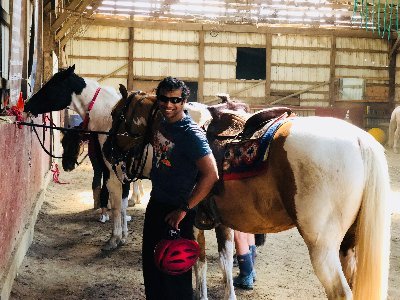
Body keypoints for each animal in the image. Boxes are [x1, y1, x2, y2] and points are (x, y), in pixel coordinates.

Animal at [105, 90, 390, 298]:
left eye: (116, 113)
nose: (107, 149)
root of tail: (360, 140)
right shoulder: (221, 222)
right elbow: (224, 260)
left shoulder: (190, 220)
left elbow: (200, 262)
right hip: (348, 244)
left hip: (323, 247)